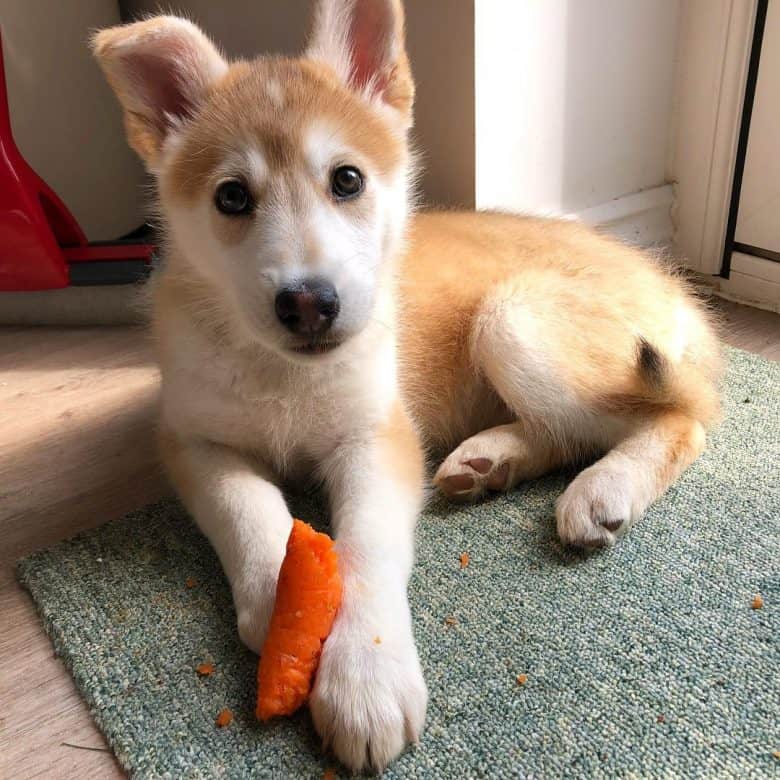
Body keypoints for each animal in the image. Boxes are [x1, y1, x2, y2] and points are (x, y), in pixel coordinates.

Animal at [94, 0, 724, 768]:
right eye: (233, 197)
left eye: (347, 180)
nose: (310, 303)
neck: (285, 374)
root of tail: (673, 289)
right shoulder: (195, 441)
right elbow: (249, 513)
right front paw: (279, 606)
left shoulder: (378, 435)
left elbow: (366, 545)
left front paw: (364, 672)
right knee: (570, 432)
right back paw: (490, 461)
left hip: (514, 318)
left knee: (676, 419)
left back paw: (603, 489)